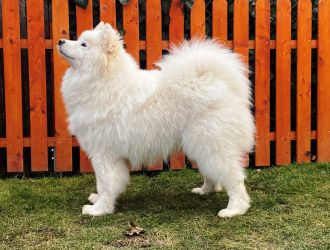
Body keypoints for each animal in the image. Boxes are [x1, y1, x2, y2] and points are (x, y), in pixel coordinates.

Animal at [58, 22, 255, 217]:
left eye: (84, 44)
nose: (60, 41)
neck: (103, 81)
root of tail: (220, 83)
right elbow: (105, 185)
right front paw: (97, 200)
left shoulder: (104, 154)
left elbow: (105, 184)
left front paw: (98, 209)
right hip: (199, 145)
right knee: (212, 173)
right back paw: (205, 190)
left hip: (212, 144)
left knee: (235, 179)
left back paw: (234, 209)